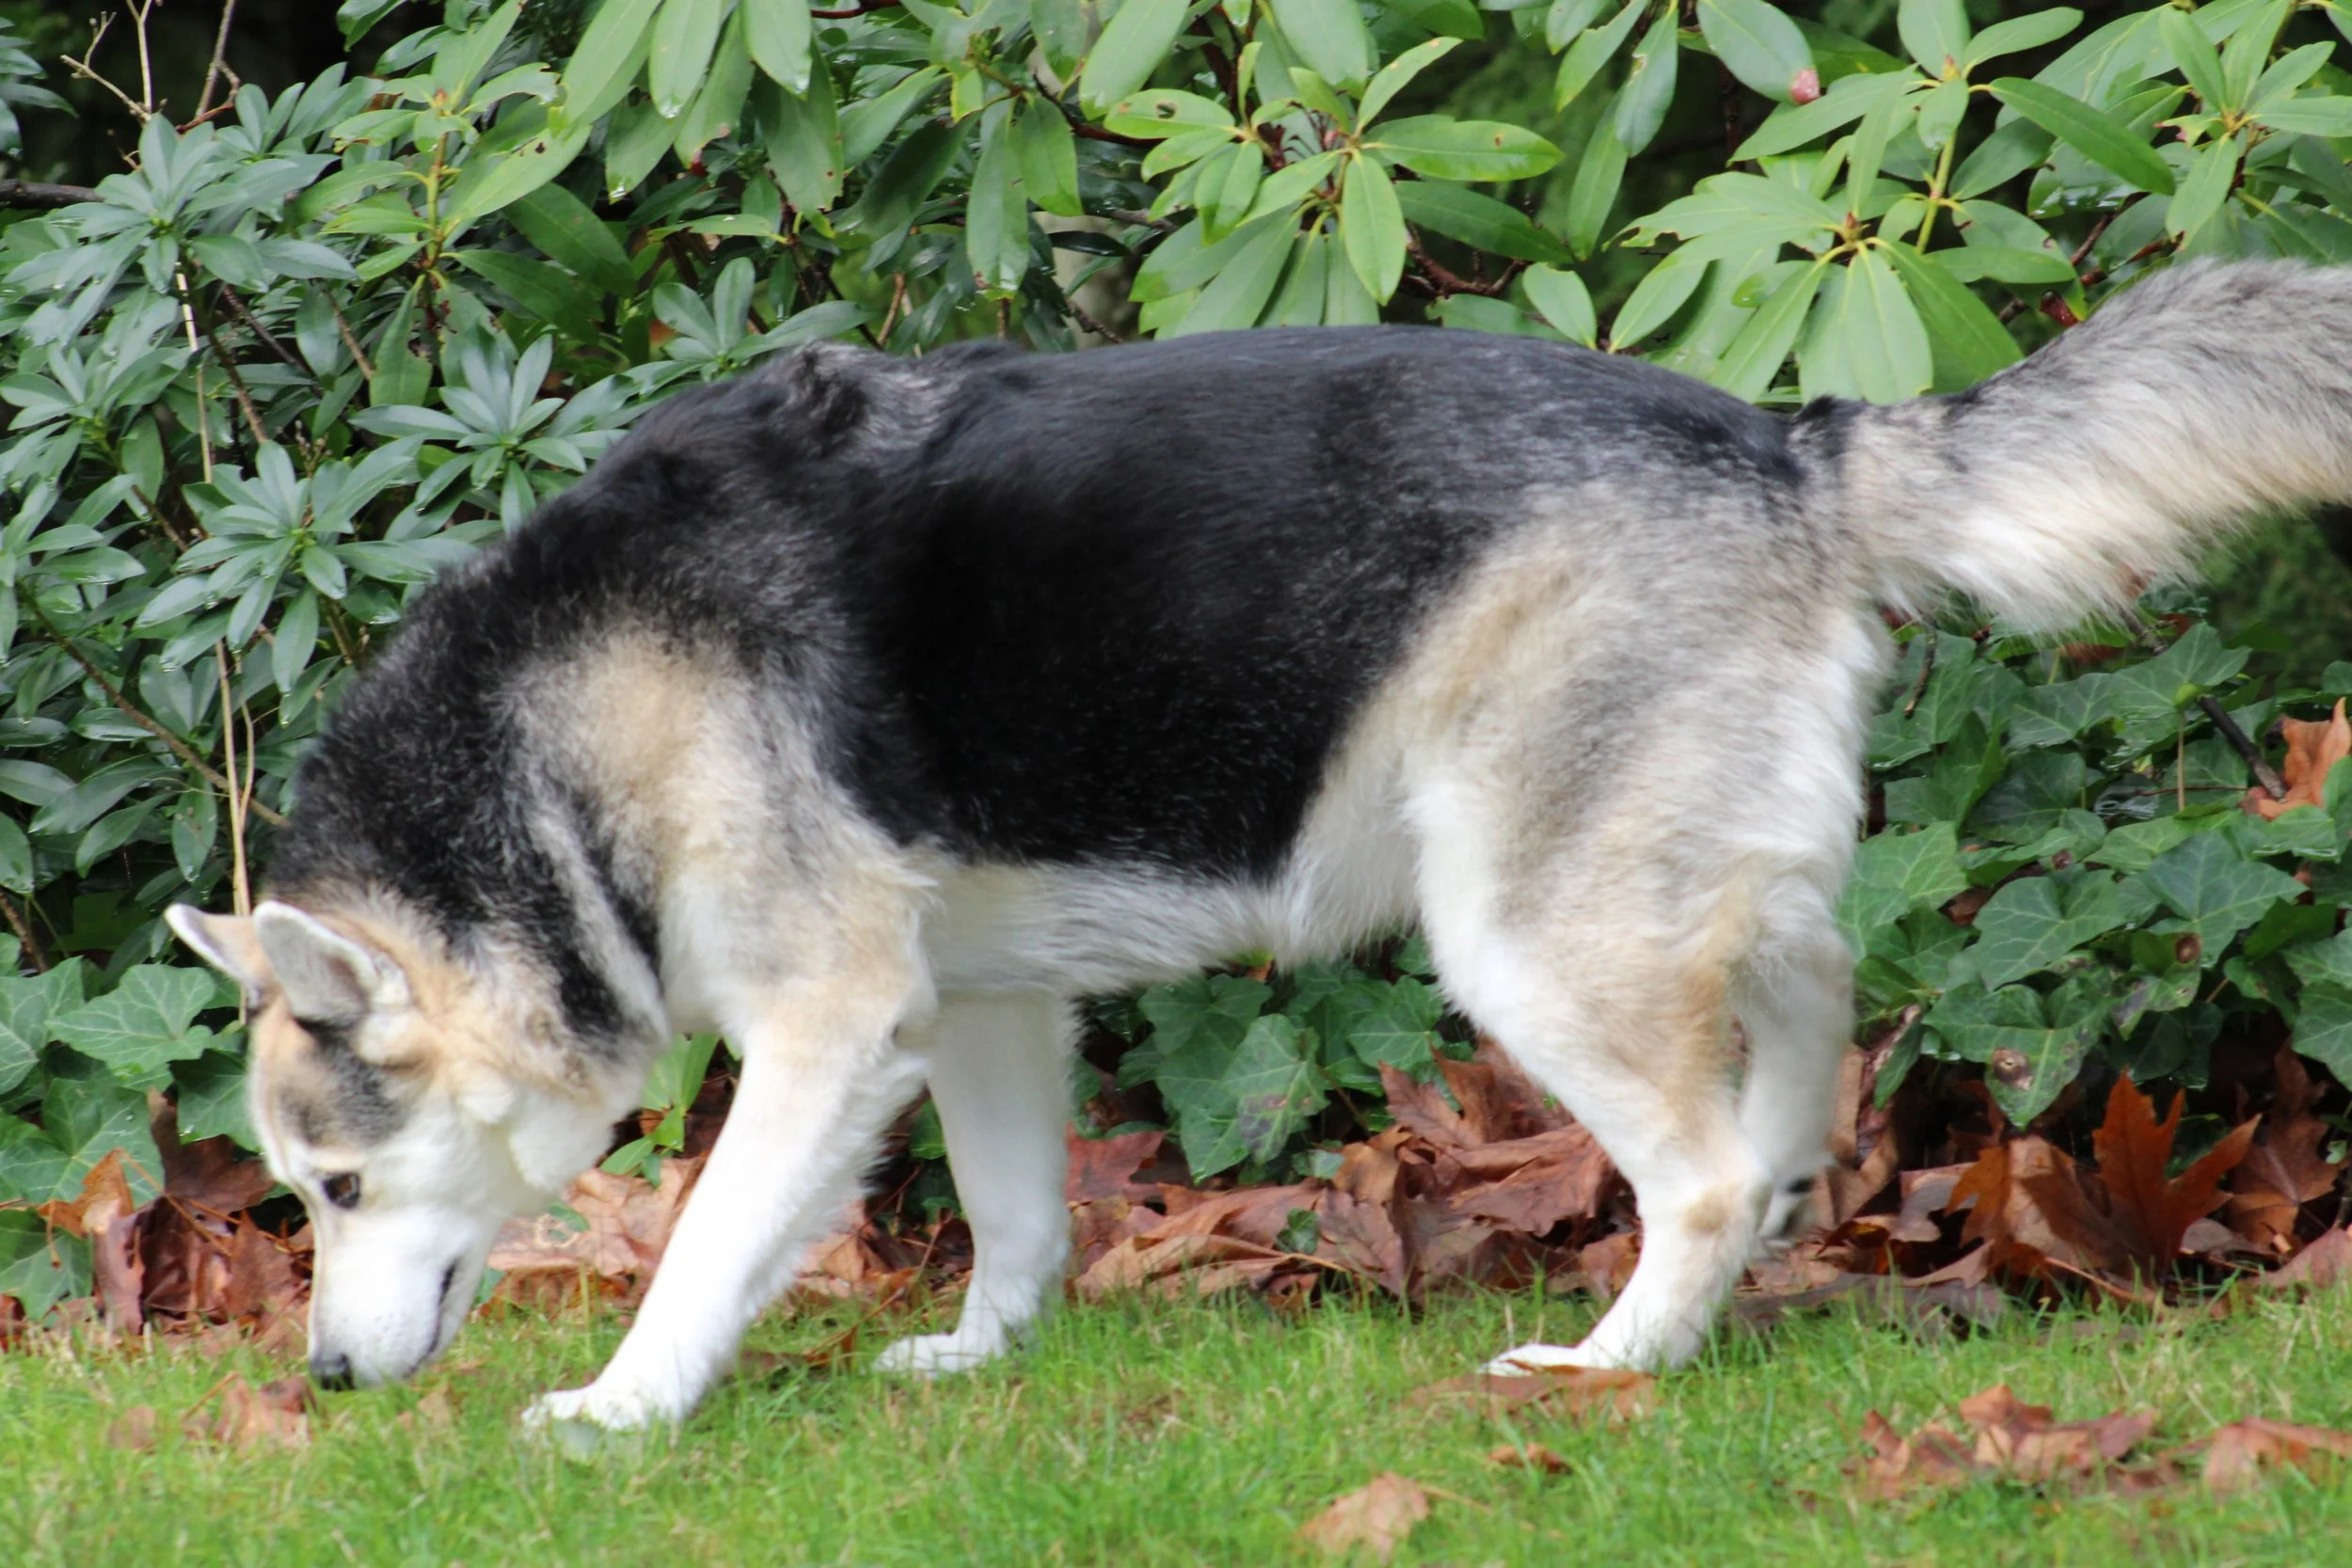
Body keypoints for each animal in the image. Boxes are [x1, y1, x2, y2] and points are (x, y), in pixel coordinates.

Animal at [167, 260, 2352, 1432]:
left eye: (336, 1183)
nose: (326, 1387)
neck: (548, 737)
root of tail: (1784, 441)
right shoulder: (972, 1012)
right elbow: (1015, 1217)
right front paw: (984, 1359)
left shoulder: (823, 1029)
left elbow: (706, 1247)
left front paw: (624, 1407)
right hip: (1688, 883)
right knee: (1805, 1020)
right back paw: (1777, 1222)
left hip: (1522, 940)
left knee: (1706, 1168)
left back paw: (1612, 1361)